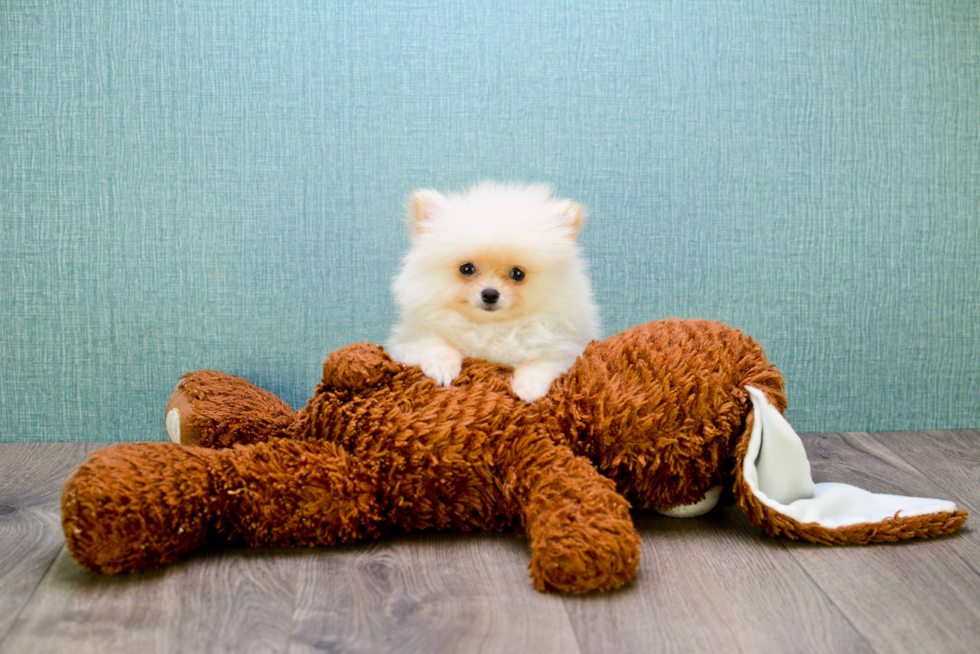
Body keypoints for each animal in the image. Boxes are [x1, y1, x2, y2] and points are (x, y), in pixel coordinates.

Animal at [386, 182, 600, 402]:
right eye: (467, 269)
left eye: (518, 273)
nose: (489, 294)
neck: (489, 326)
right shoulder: (409, 339)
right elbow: (434, 345)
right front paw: (442, 368)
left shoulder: (564, 347)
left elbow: (541, 363)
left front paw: (528, 389)